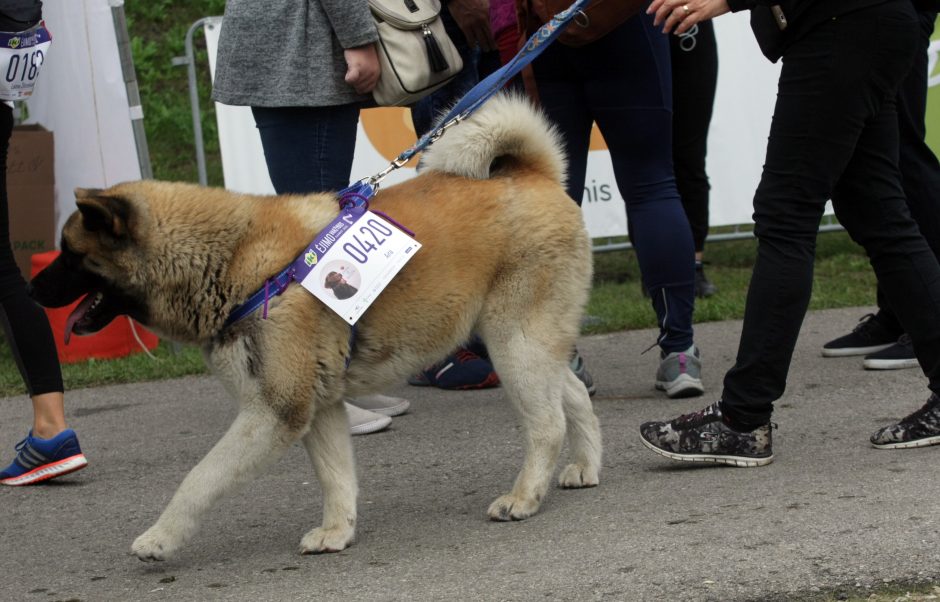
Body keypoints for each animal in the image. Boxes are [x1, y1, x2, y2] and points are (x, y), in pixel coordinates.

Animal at [29, 94, 604, 556]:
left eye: (70, 255)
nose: (31, 290)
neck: (233, 260)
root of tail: (531, 174)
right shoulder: (320, 406)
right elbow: (335, 478)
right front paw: (337, 532)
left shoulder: (274, 411)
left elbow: (200, 477)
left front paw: (160, 538)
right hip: (529, 345)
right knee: (573, 394)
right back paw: (585, 466)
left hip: (514, 345)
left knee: (547, 422)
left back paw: (525, 496)